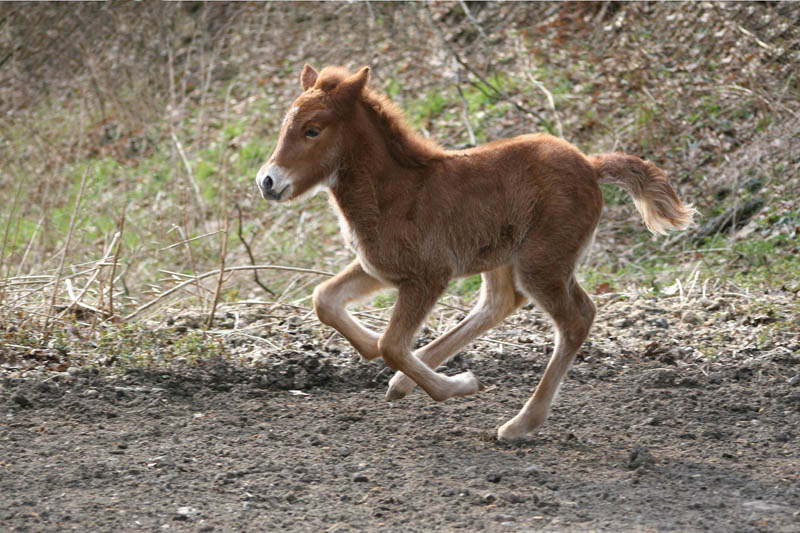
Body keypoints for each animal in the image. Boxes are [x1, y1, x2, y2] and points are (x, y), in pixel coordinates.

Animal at [256, 65, 692, 440]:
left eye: (312, 130)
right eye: (284, 127)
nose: (267, 181)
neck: (394, 192)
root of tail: (590, 164)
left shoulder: (428, 275)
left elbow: (392, 345)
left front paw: (461, 384)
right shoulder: (378, 267)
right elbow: (325, 300)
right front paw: (375, 353)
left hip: (541, 261)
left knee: (575, 318)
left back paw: (520, 424)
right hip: (505, 256)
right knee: (502, 301)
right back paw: (405, 383)